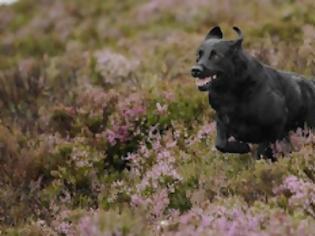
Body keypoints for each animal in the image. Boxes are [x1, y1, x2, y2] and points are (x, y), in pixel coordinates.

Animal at [191, 26, 315, 160]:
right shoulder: (222, 120)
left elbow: (263, 148)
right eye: (198, 55)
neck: (232, 91)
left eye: (216, 56)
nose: (195, 70)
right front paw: (242, 147)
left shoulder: (276, 124)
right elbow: (220, 144)